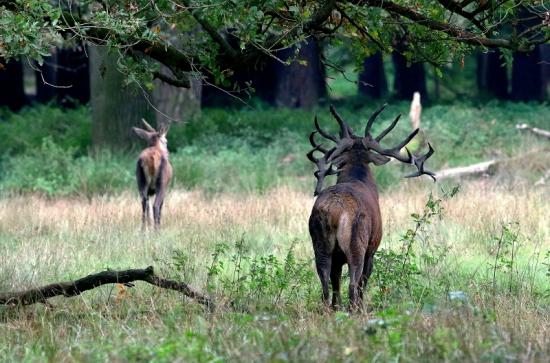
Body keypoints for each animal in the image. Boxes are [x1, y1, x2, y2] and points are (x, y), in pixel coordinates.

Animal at [308, 104, 438, 310]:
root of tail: (334, 210)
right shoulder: (373, 247)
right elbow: (364, 280)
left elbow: (335, 281)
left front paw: (338, 308)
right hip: (356, 242)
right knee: (354, 282)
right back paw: (355, 310)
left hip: (319, 243)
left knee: (325, 283)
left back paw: (331, 310)